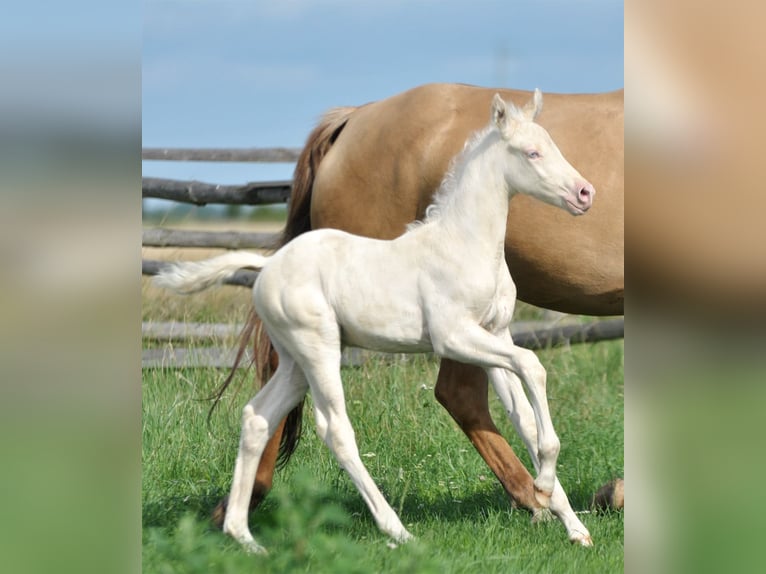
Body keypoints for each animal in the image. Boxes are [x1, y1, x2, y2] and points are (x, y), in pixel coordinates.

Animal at [157, 92, 596, 551]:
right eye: (532, 153)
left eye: (554, 145)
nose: (585, 193)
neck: (464, 244)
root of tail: (267, 265)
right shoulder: (454, 336)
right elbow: (533, 364)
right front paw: (544, 487)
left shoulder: (496, 333)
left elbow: (524, 415)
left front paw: (571, 524)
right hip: (319, 348)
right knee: (334, 429)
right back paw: (397, 530)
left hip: (296, 361)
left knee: (257, 416)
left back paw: (244, 537)